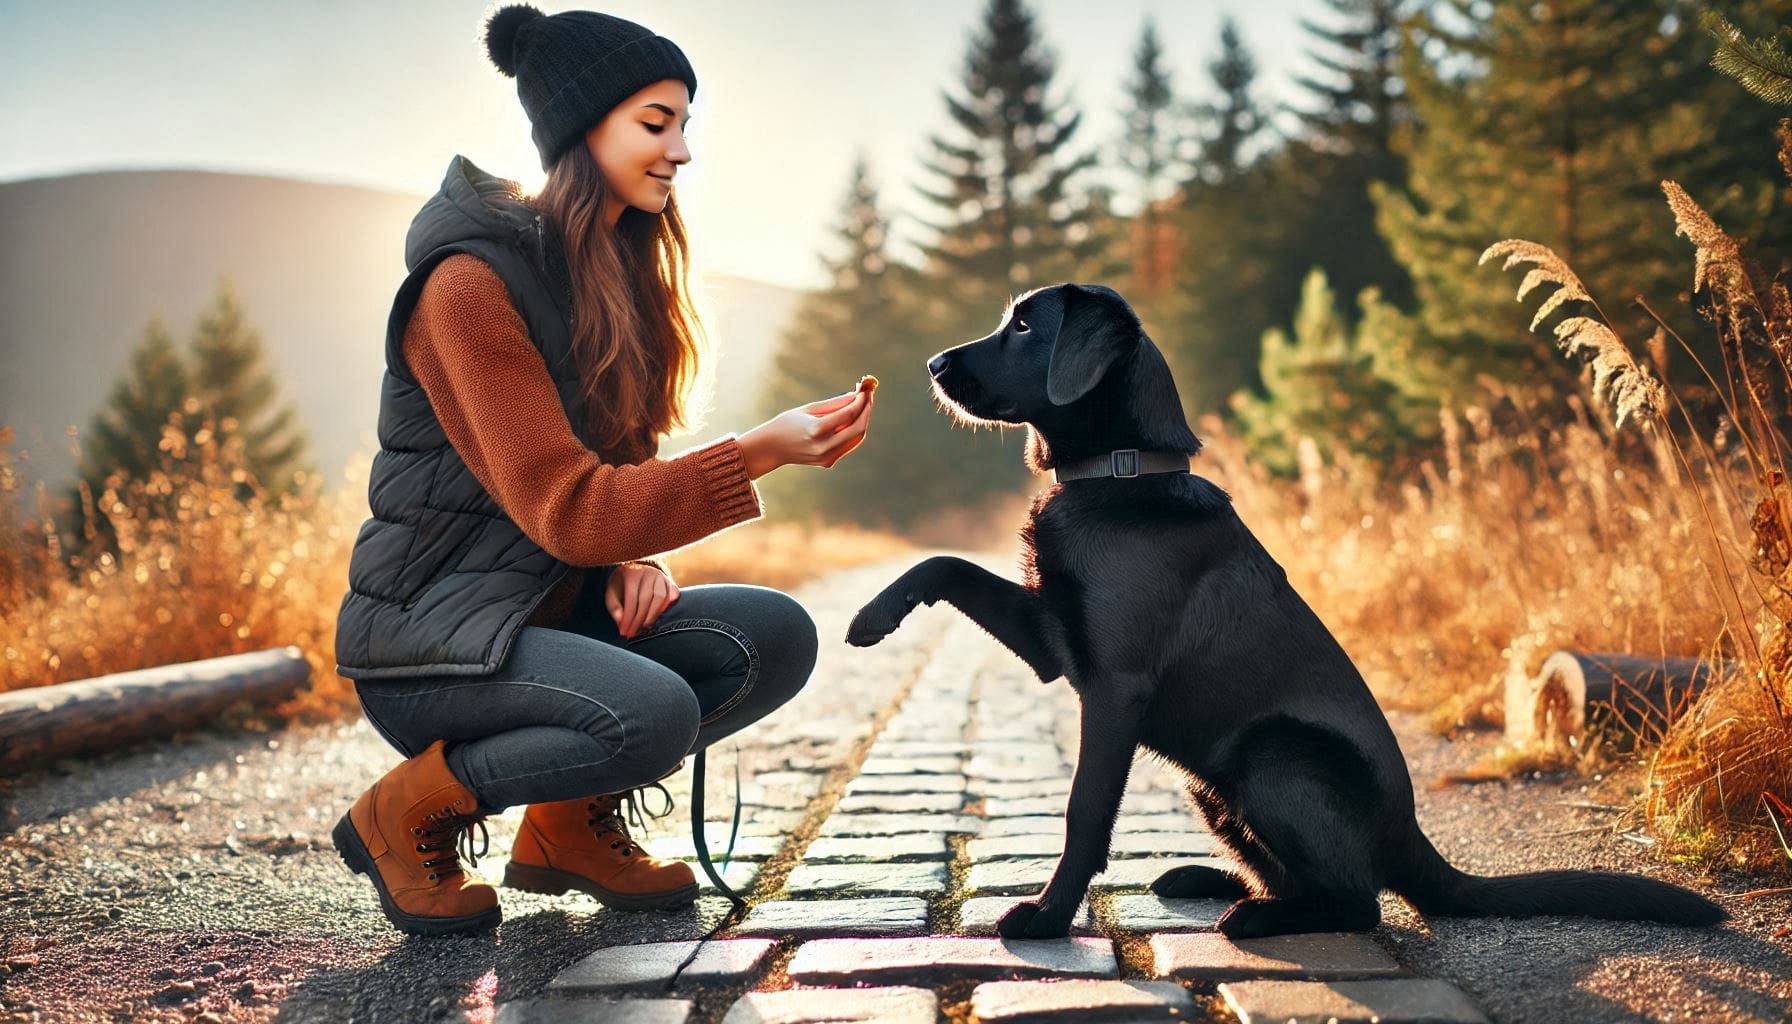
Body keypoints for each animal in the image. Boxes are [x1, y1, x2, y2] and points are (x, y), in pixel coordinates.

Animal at [845, 285, 1727, 939]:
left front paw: (1049, 916)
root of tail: (1416, 842)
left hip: (1274, 755)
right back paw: (1216, 883)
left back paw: (1255, 919)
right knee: (1297, 877)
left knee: (1359, 903)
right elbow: (945, 563)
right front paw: (871, 618)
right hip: (1214, 785)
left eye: (1025, 324)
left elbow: (1084, 811)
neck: (1119, 477)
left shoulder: (1113, 685)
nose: (933, 363)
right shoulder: (1053, 642)